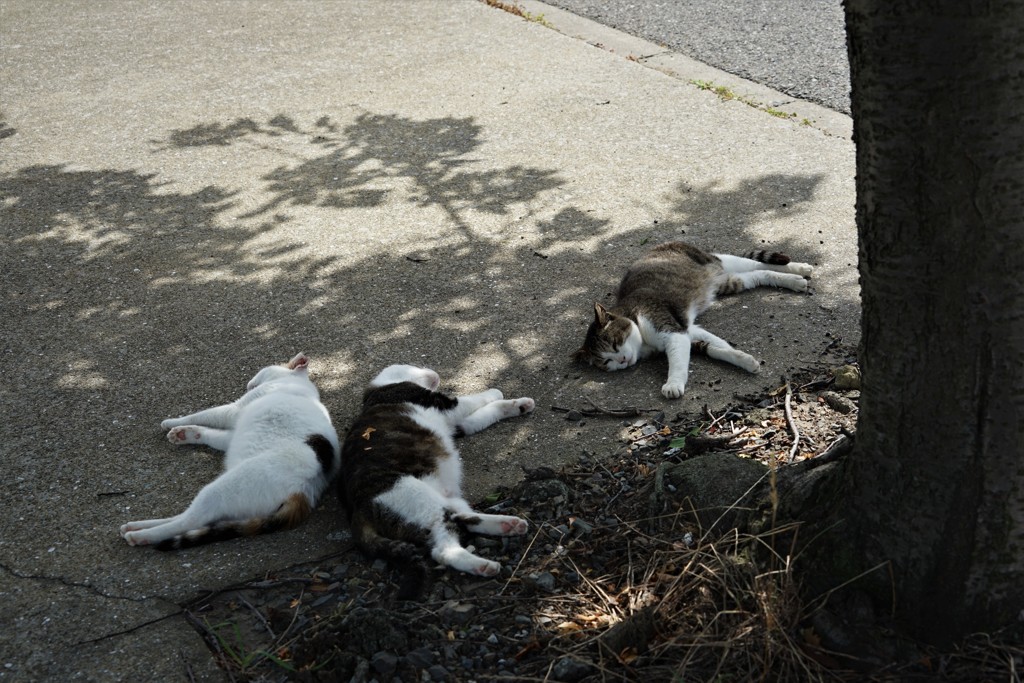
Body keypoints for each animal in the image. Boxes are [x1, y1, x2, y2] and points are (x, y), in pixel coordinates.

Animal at [120, 352, 339, 548]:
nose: (248, 384)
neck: (297, 383)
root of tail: (308, 490)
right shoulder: (234, 434)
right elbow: (212, 435)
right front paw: (186, 434)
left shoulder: (233, 411)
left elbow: (205, 414)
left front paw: (174, 422)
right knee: (195, 518)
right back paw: (135, 526)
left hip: (225, 487)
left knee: (190, 520)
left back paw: (141, 535)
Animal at [339, 362, 536, 598]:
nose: (435, 374)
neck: (377, 390)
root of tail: (358, 509)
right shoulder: (445, 405)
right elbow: (477, 399)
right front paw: (498, 392)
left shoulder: (460, 424)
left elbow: (489, 412)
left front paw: (520, 405)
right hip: (418, 498)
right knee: (443, 549)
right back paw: (483, 564)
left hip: (443, 502)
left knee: (462, 520)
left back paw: (508, 525)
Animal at [573, 241, 811, 397]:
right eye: (606, 362)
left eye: (615, 344)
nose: (622, 360)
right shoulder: (688, 330)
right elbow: (716, 346)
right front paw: (743, 359)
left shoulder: (671, 331)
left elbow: (677, 364)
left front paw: (673, 384)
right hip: (730, 283)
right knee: (758, 275)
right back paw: (794, 279)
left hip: (721, 262)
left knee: (756, 263)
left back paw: (800, 268)